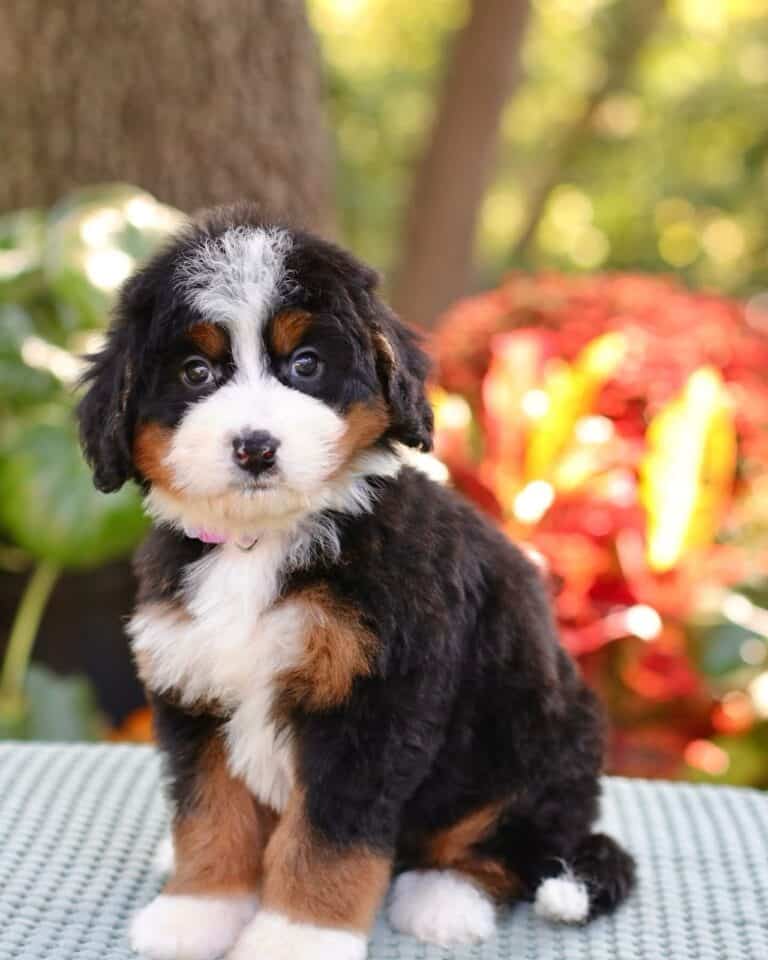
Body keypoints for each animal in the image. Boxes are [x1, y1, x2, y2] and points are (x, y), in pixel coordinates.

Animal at [78, 204, 632, 960]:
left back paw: (444, 896)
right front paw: (198, 909)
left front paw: (293, 935)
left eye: (305, 365)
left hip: (533, 737)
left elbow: (328, 838)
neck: (261, 542)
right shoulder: (193, 686)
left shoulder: (373, 702)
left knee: (512, 842)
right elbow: (209, 810)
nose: (255, 447)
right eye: (195, 373)